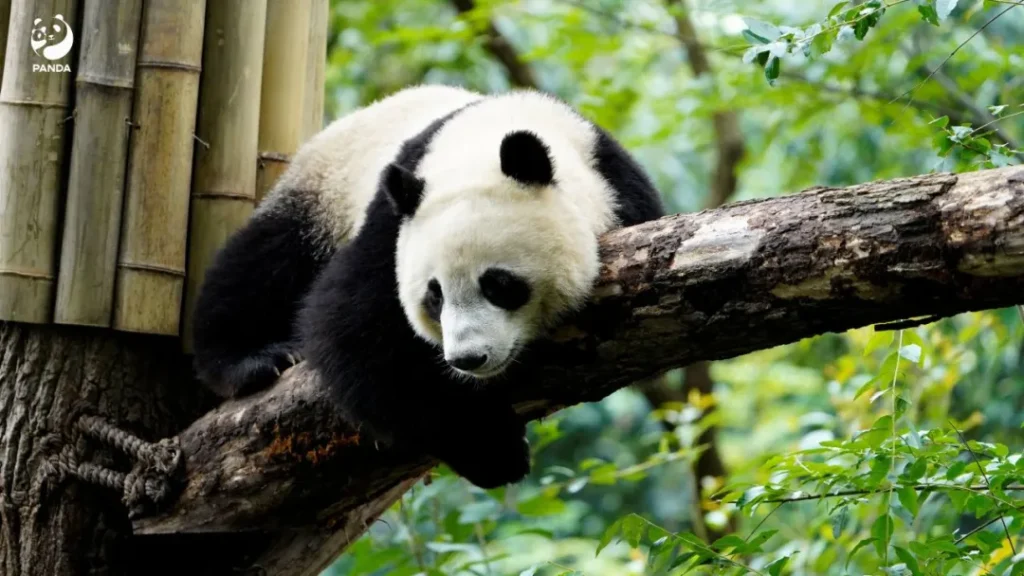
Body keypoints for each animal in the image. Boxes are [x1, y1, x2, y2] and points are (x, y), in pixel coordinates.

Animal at [191, 84, 665, 488]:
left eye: (498, 284)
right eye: (434, 295)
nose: (468, 358)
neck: (483, 146)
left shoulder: (620, 188)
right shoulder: (392, 226)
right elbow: (354, 333)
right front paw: (493, 451)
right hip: (320, 193)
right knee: (263, 261)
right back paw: (254, 360)